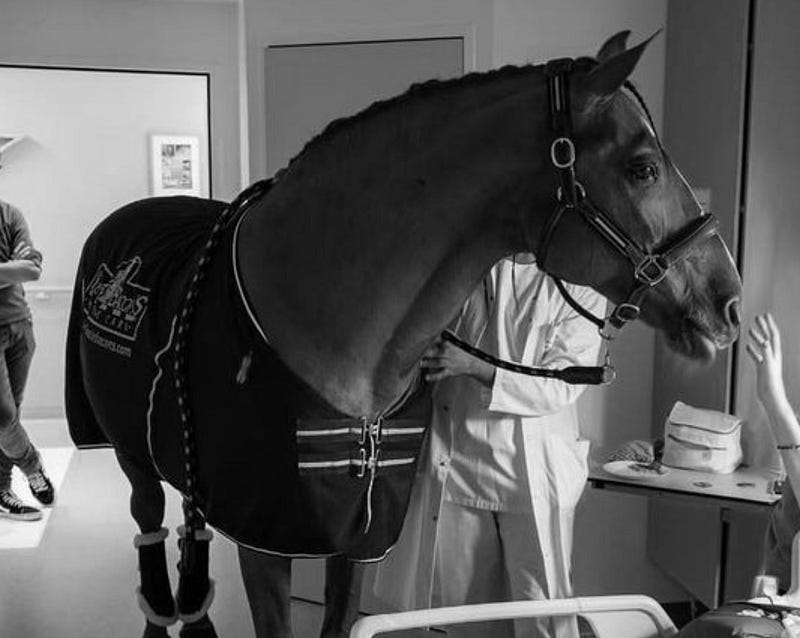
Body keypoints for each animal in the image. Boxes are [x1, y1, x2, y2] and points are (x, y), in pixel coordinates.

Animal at [65, 31, 740, 638]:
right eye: (643, 168)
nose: (727, 302)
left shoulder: (359, 536)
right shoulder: (264, 540)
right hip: (129, 451)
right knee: (149, 521)